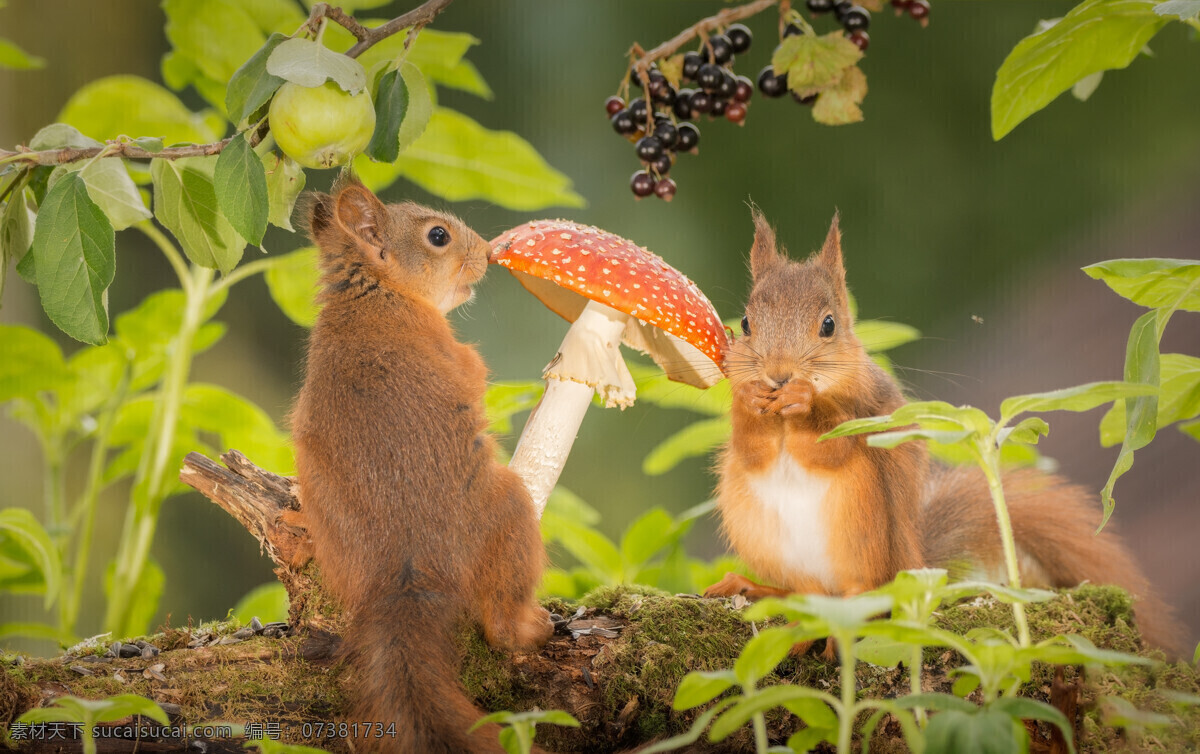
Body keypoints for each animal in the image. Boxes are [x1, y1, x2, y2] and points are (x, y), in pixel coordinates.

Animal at [290, 174, 552, 749]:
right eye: (438, 236)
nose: (488, 252)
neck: (378, 293)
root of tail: (408, 568)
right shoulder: (455, 354)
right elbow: (473, 370)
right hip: (511, 510)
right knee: (501, 625)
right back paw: (531, 627)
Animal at [700, 210, 1180, 653]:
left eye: (829, 325)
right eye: (745, 323)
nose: (779, 375)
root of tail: (911, 565)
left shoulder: (864, 415)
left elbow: (829, 444)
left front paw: (803, 400)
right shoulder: (753, 443)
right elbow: (751, 448)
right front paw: (750, 399)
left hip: (862, 533)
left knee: (863, 593)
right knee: (806, 593)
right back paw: (756, 590)